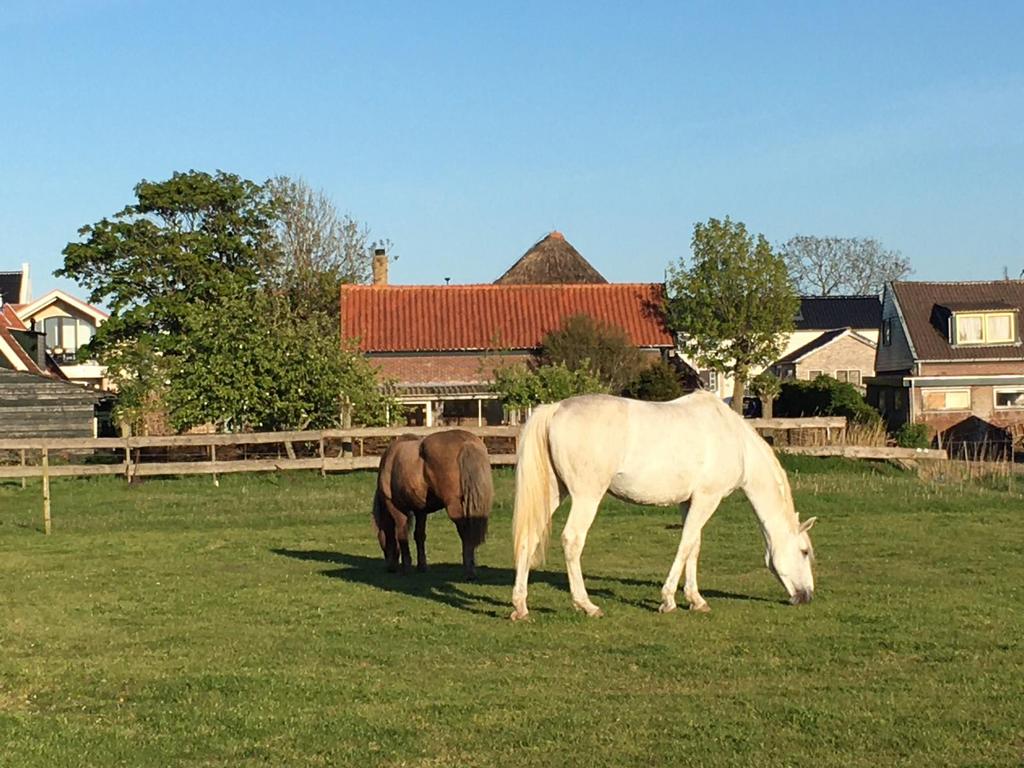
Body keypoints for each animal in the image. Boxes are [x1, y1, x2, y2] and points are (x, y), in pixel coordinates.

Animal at [373, 429, 493, 579]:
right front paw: (422, 566)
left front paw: (406, 567)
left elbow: (401, 534)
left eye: (380, 539)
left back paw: (469, 570)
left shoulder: (395, 507)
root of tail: (466, 443)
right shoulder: (420, 510)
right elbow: (419, 536)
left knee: (465, 533)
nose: (390, 567)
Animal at [509, 391, 817, 620]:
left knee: (529, 538)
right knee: (572, 540)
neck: (735, 440)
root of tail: (555, 409)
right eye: (804, 551)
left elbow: (694, 546)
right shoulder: (708, 498)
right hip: (587, 496)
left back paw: (520, 607)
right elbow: (685, 544)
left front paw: (696, 600)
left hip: (554, 492)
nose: (807, 596)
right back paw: (587, 605)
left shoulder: (689, 502)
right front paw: (668, 600)